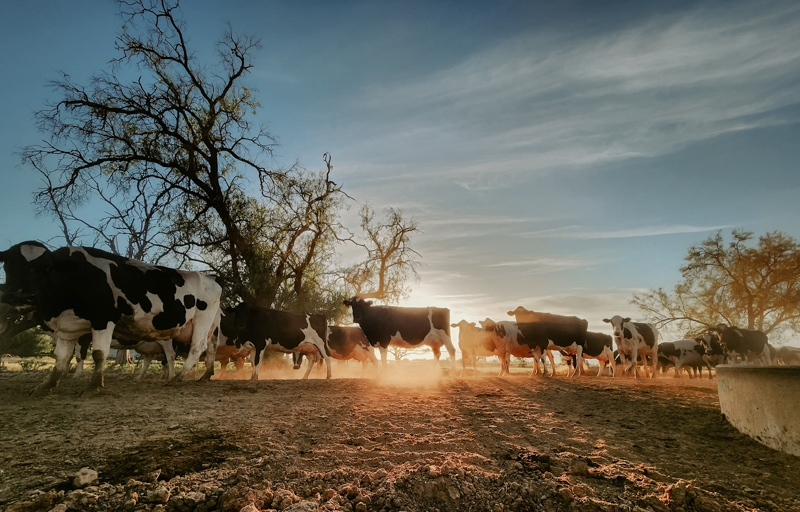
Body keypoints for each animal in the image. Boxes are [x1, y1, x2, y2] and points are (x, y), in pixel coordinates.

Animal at [0, 241, 221, 394]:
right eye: (7, 265)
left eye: (45, 267)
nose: (20, 296)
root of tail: (210, 278)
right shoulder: (67, 327)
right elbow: (61, 357)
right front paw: (46, 386)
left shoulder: (102, 320)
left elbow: (96, 354)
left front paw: (93, 385)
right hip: (209, 327)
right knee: (210, 348)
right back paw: (205, 375)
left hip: (199, 322)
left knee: (195, 348)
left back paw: (177, 378)